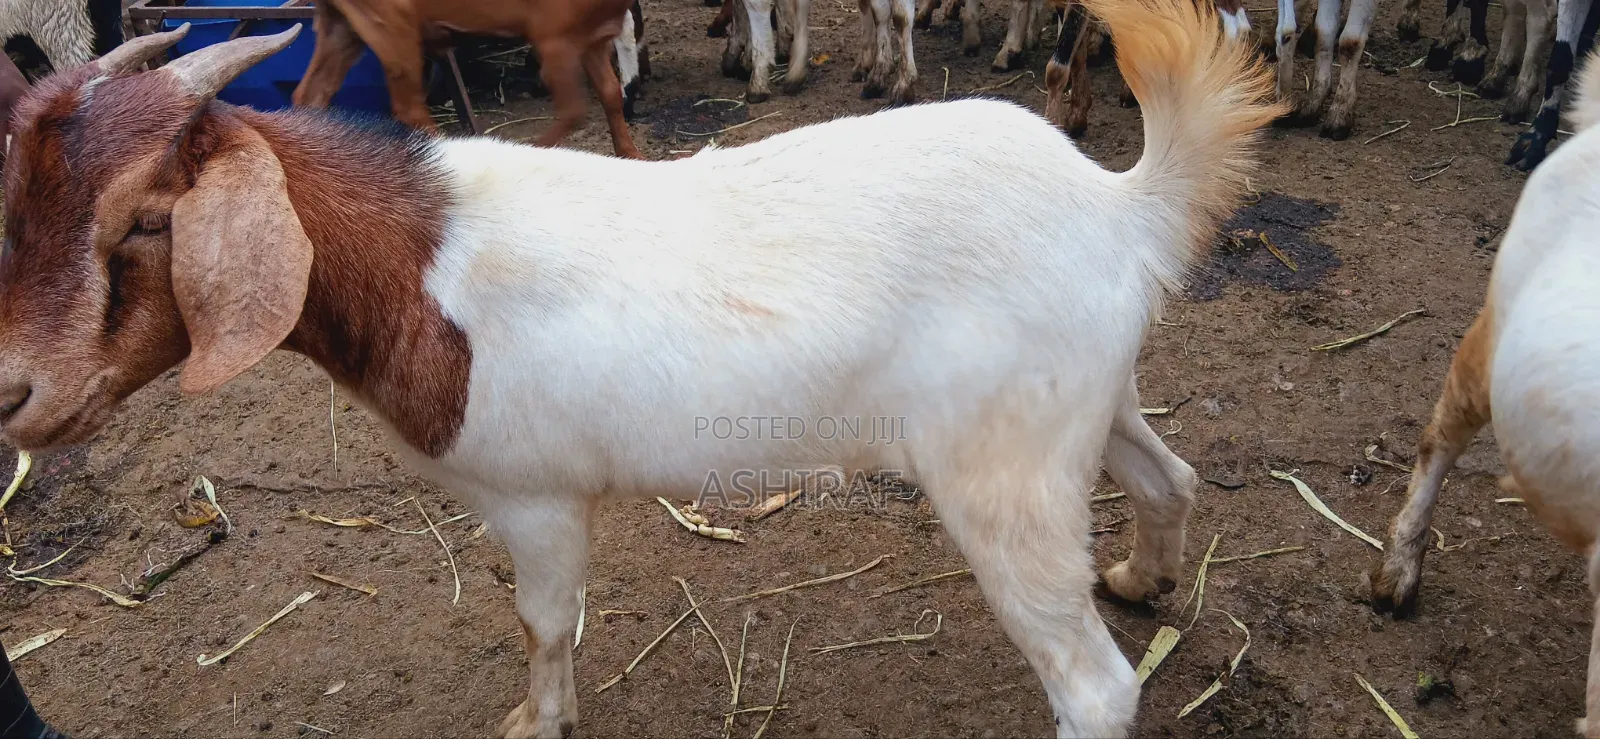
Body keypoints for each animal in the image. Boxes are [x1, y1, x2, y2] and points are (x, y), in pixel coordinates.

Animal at [291, 0, 642, 159]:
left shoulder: (593, 38)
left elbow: (611, 94)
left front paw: (632, 156)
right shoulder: (554, 39)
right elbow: (573, 111)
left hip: (344, 25)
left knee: (310, 95)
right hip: (392, 26)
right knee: (409, 109)